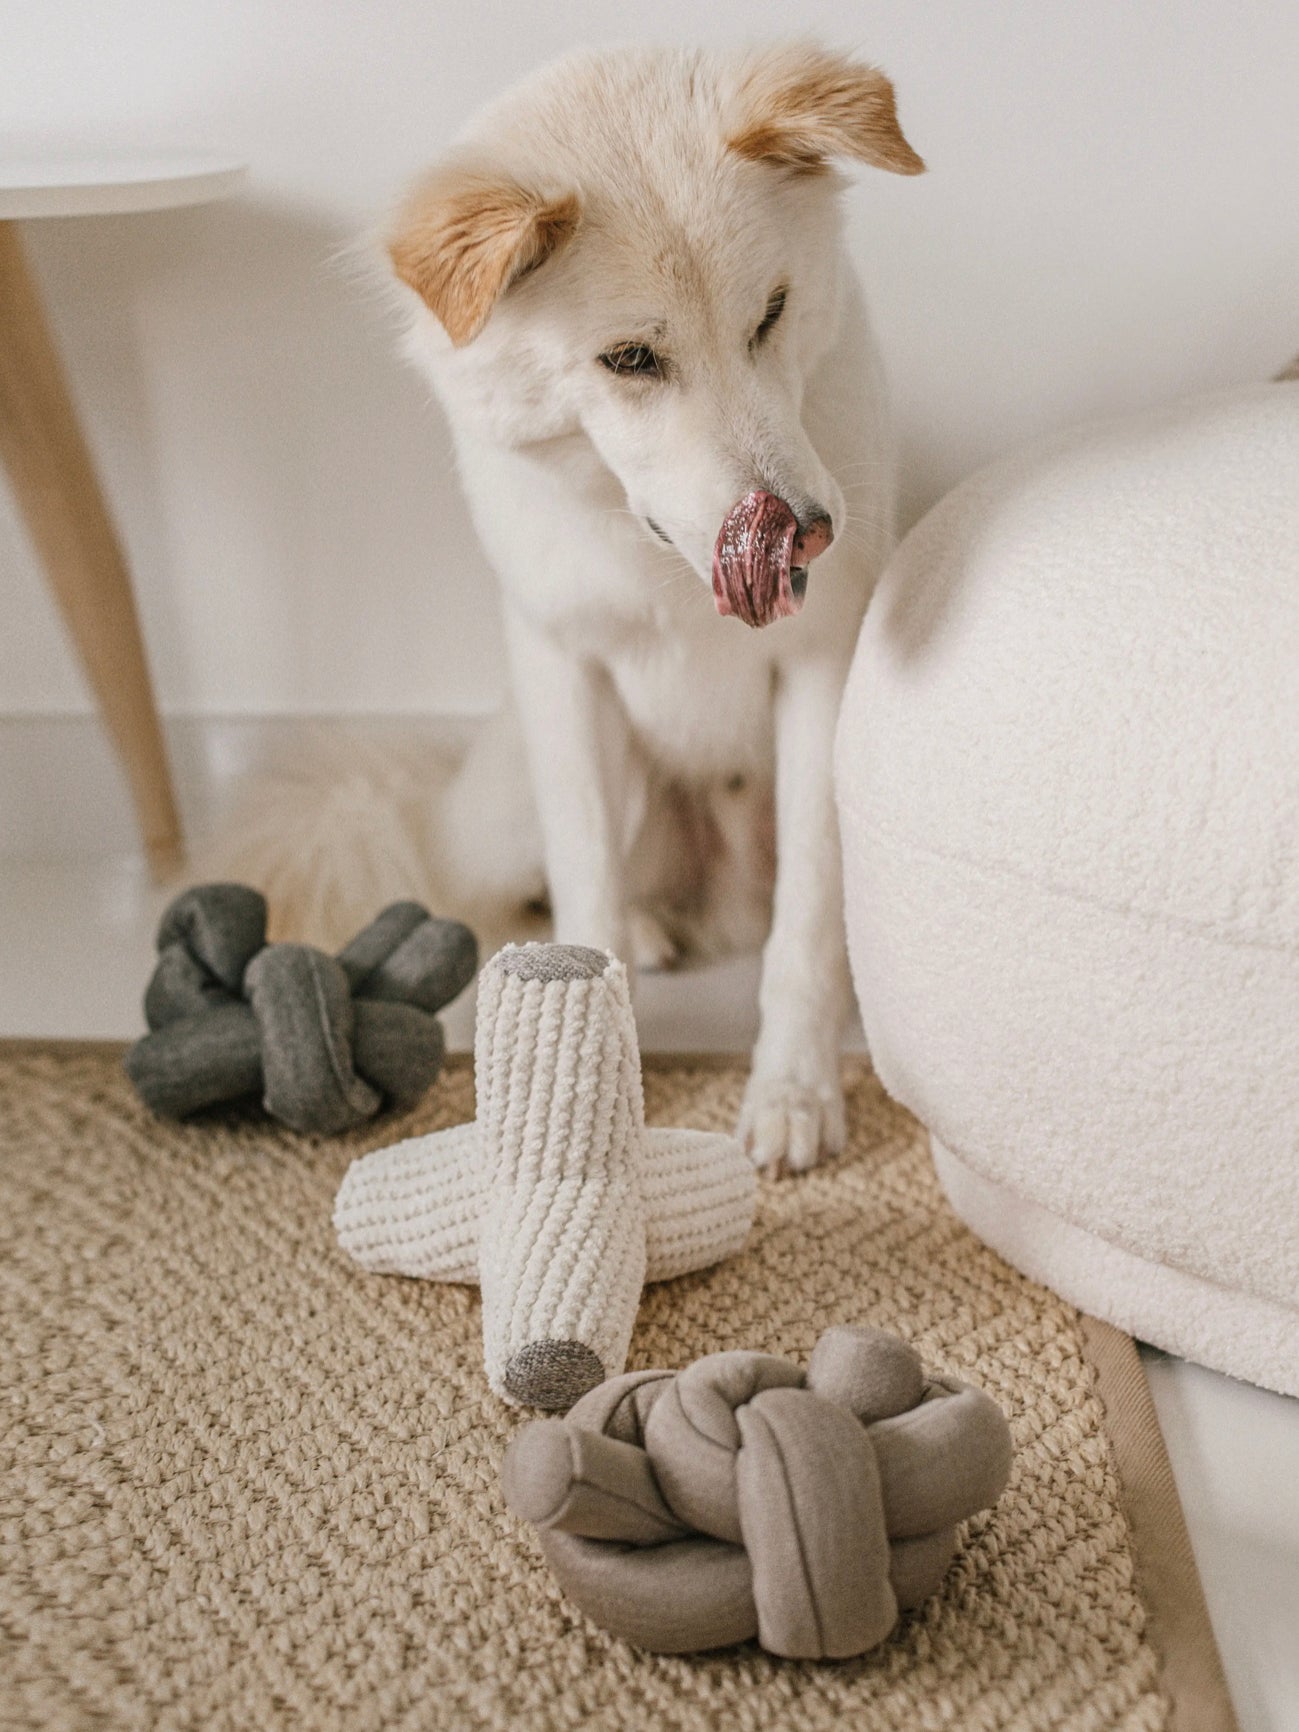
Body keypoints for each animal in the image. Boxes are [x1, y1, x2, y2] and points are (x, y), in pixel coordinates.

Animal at [320, 43, 928, 1177]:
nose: (810, 532)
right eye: (630, 360)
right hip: (533, 802)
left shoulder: (822, 668)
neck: (670, 572)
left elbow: (808, 920)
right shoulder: (568, 673)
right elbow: (587, 886)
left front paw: (792, 1091)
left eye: (771, 314)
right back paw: (642, 930)